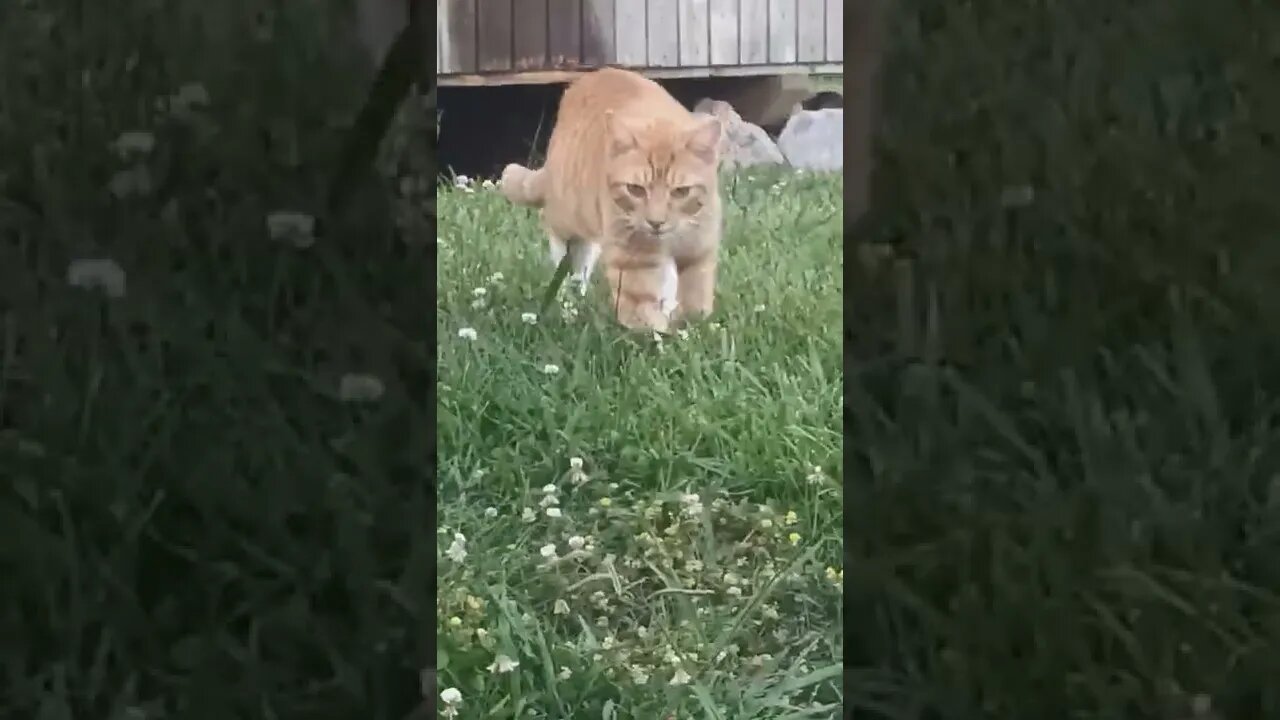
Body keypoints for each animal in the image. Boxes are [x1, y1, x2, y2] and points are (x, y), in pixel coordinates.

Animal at [496, 67, 721, 330]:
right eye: (635, 190)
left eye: (680, 192)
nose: (656, 222)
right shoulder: (634, 258)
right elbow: (641, 308)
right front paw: (656, 334)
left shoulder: (698, 251)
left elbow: (695, 298)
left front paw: (694, 327)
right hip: (571, 219)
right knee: (564, 251)